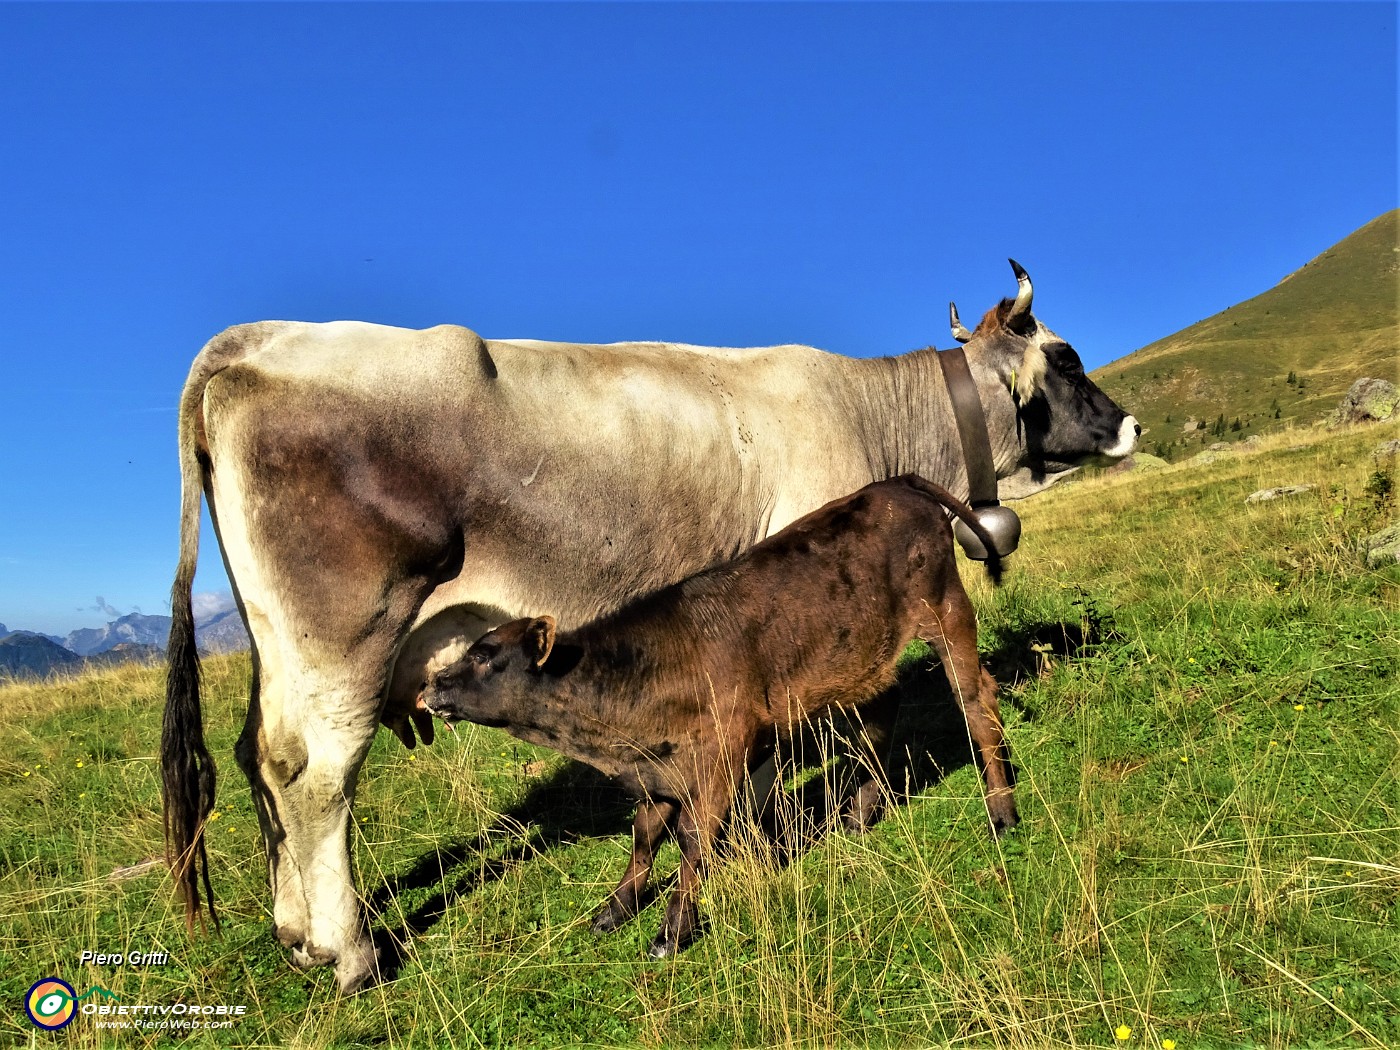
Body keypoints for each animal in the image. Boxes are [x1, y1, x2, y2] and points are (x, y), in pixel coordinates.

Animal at [414, 476, 1019, 963]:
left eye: (486, 654)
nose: (430, 686)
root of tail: (893, 485)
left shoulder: (727, 754)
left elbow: (694, 842)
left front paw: (672, 931)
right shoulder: (657, 771)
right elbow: (644, 838)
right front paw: (616, 908)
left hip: (946, 612)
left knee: (976, 701)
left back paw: (1002, 811)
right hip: (865, 660)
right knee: (879, 720)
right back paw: (856, 815)